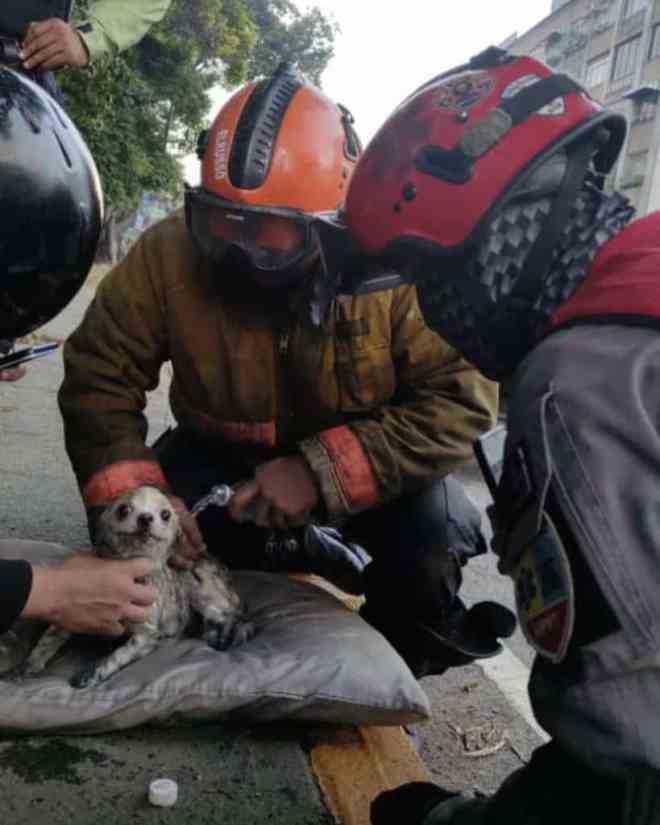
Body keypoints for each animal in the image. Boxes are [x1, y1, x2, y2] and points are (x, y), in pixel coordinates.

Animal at [20, 486, 253, 684]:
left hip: (201, 589)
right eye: (123, 509)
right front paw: (30, 664)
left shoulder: (145, 635)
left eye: (165, 514)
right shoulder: (76, 613)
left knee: (230, 616)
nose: (146, 518)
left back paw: (224, 634)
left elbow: (118, 654)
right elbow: (50, 637)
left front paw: (93, 673)